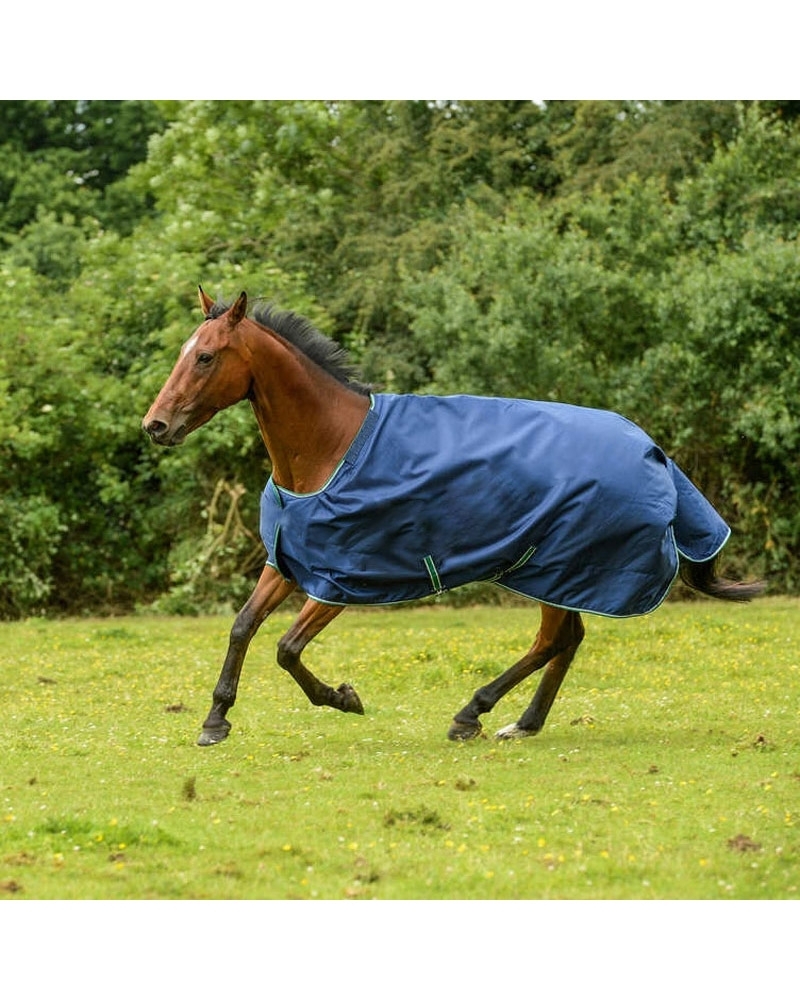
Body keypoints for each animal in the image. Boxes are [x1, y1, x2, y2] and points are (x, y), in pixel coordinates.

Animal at [143, 288, 764, 747]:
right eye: (183, 352)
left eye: (205, 356)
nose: (156, 425)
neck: (329, 448)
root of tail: (653, 450)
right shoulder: (289, 562)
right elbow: (243, 626)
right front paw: (215, 720)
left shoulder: (339, 580)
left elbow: (287, 648)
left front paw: (343, 698)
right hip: (564, 573)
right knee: (569, 639)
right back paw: (522, 724)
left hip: (558, 565)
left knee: (553, 641)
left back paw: (473, 713)